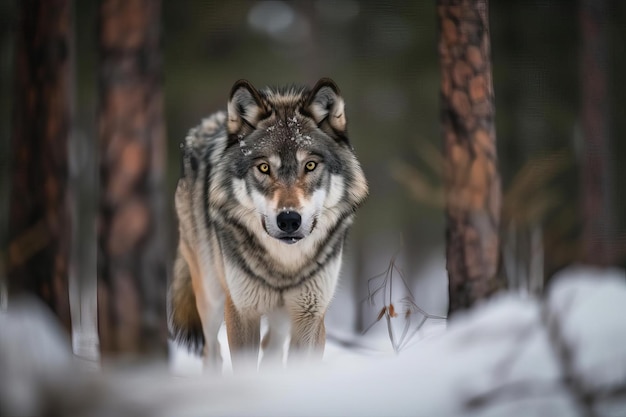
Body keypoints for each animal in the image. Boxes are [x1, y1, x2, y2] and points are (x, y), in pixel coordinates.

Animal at [168, 78, 368, 370]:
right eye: (263, 168)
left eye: (310, 165)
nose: (289, 219)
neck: (284, 265)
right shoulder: (241, 311)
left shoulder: (310, 315)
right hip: (211, 296)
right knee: (211, 350)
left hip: (281, 316)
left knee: (271, 348)